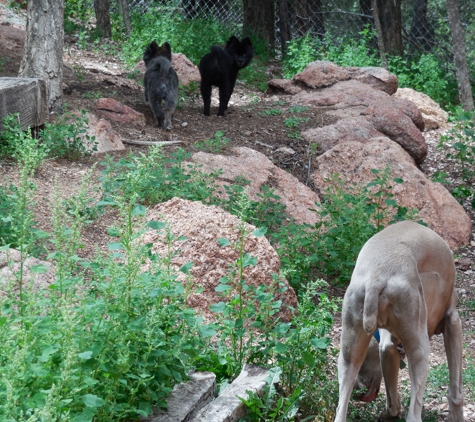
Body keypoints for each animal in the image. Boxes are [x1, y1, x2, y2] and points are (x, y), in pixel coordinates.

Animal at [336, 221, 462, 422]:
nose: (359, 391)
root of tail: (375, 277)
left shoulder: (387, 346)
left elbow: (392, 402)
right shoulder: (453, 321)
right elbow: (456, 388)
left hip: (349, 349)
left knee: (341, 409)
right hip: (420, 348)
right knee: (414, 411)